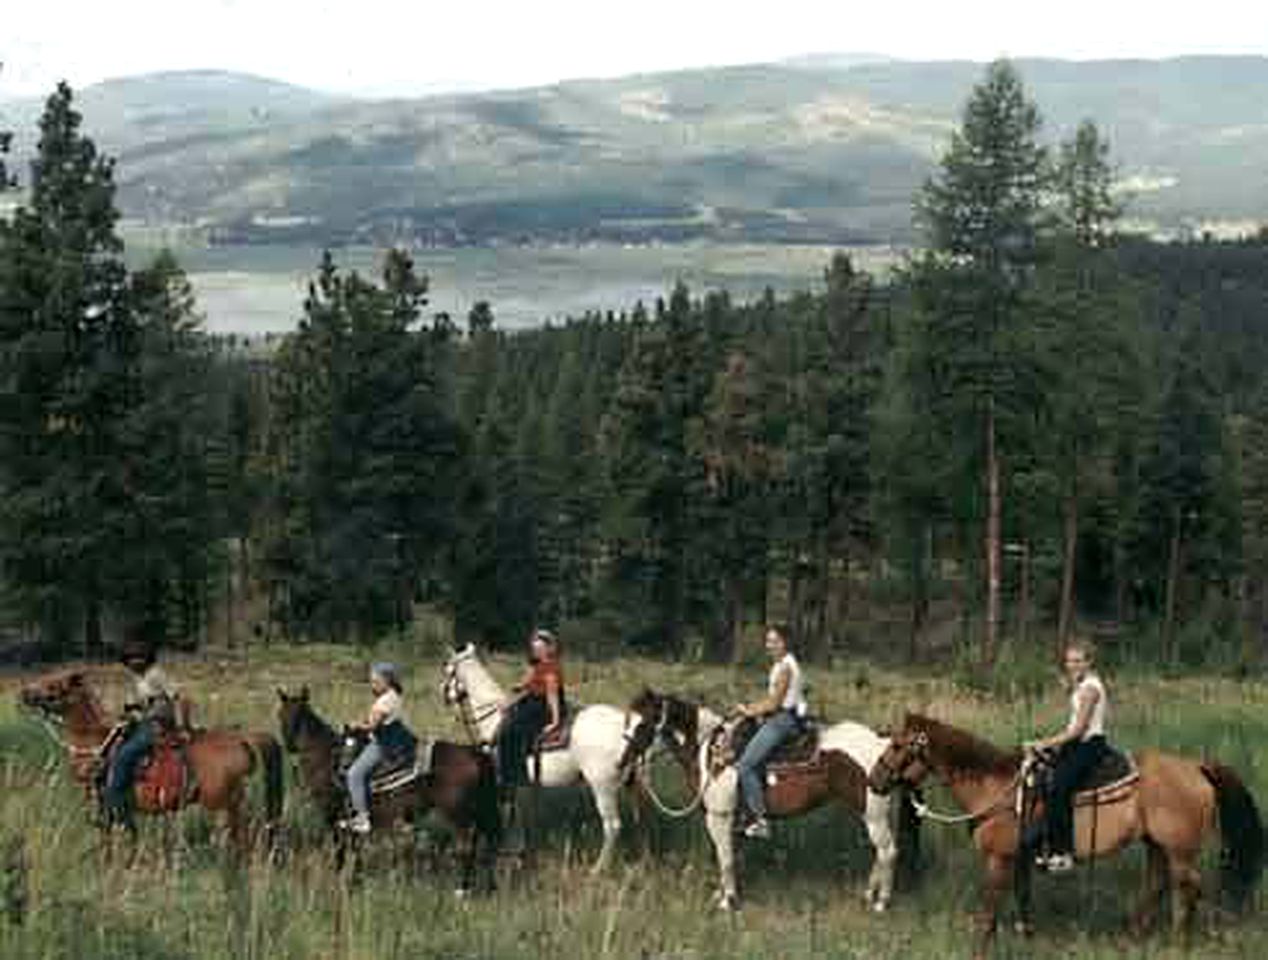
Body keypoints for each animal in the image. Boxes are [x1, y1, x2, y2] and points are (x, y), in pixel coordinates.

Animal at [17, 664, 285, 852]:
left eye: (54, 686)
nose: (25, 693)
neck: (95, 743)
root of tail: (242, 738)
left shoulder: (106, 804)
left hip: (225, 804)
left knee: (243, 837)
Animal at [276, 679, 499, 892]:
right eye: (280, 715)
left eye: (300, 715)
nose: (290, 746)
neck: (327, 757)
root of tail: (477, 754)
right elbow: (355, 848)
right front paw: (355, 879)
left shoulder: (333, 814)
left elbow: (341, 848)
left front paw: (340, 879)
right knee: (486, 846)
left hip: (458, 815)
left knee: (468, 847)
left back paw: (462, 889)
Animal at [443, 644, 631, 877]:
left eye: (448, 670)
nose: (445, 696)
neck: (495, 719)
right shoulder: (517, 784)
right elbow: (519, 815)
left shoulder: (507, 780)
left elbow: (511, 815)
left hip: (602, 786)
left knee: (612, 826)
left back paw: (597, 869)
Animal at [618, 684, 918, 908]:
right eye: (628, 722)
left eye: (643, 724)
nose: (623, 763)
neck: (710, 751)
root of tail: (884, 744)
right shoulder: (730, 819)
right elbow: (728, 855)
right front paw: (724, 894)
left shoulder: (719, 816)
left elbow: (725, 857)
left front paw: (727, 901)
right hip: (873, 814)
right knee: (881, 852)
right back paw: (868, 896)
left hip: (874, 815)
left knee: (888, 851)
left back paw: (881, 902)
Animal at [867, 710, 1262, 958]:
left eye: (899, 745)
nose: (875, 779)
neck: (995, 785)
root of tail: (1198, 767)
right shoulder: (1019, 859)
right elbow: (1022, 898)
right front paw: (1026, 937)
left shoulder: (999, 859)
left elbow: (990, 910)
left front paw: (981, 949)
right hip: (1156, 845)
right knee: (1157, 884)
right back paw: (1135, 938)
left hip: (1180, 850)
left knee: (1187, 890)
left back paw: (1178, 943)